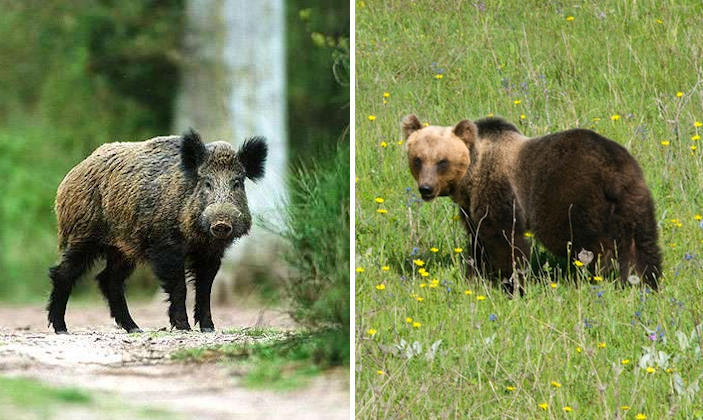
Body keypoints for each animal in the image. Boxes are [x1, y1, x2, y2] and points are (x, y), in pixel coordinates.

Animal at [404, 113, 664, 294]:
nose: (426, 188)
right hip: (634, 197)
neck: (471, 176)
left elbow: (504, 239)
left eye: (442, 161)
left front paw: (512, 284)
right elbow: (477, 241)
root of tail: (614, 172)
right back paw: (645, 280)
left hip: (569, 197)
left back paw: (601, 274)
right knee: (642, 242)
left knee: (588, 241)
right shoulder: (471, 207)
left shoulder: (499, 190)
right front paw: (475, 276)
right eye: (418, 159)